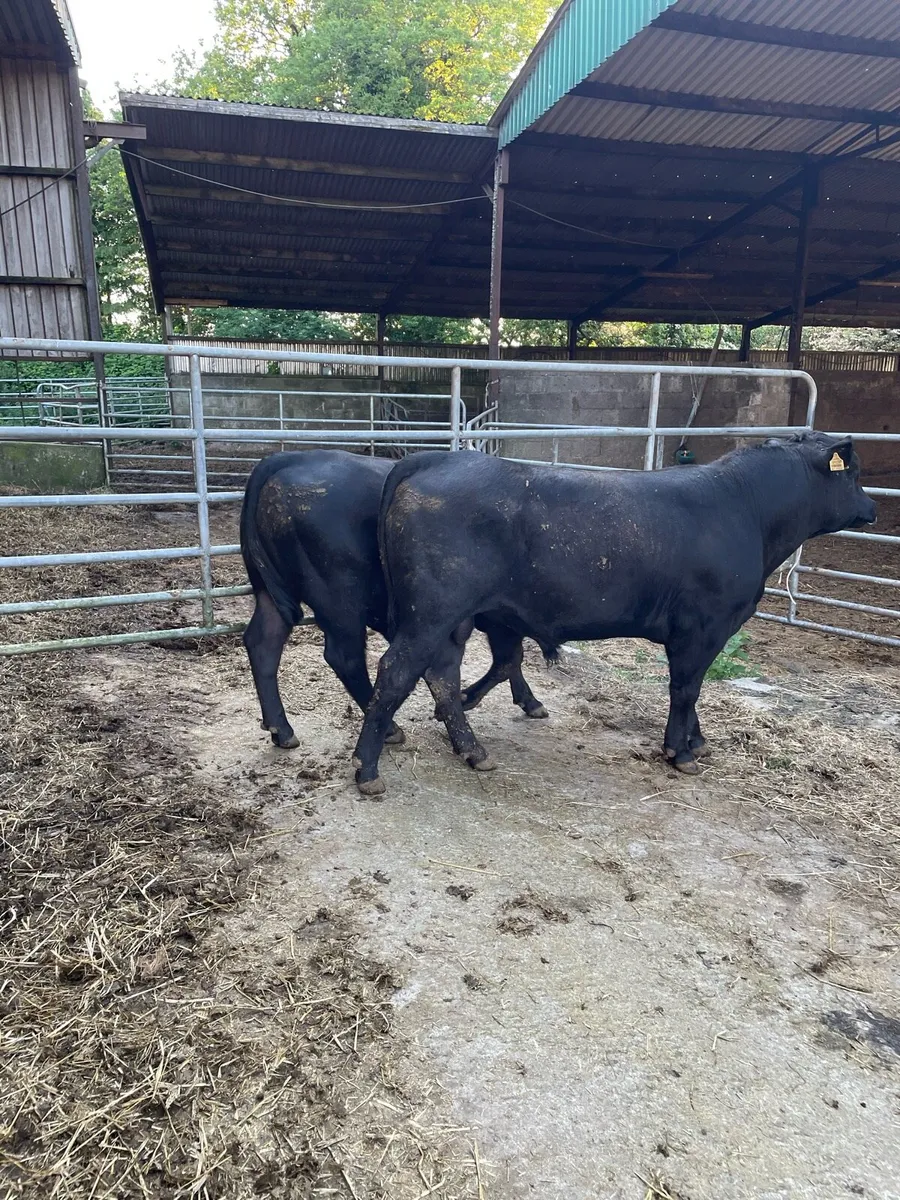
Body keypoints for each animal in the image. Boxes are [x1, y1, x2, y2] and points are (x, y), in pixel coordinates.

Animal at [239, 449, 547, 751]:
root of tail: (287, 458)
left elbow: (509, 658)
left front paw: (527, 700)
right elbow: (509, 658)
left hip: (268, 591)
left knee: (263, 642)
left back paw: (281, 730)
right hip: (340, 599)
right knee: (345, 656)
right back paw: (389, 729)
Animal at [352, 433, 876, 796]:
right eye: (852, 473)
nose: (872, 507)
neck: (745, 508)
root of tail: (437, 456)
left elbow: (692, 690)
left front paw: (696, 741)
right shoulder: (703, 626)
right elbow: (687, 688)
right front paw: (681, 751)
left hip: (453, 617)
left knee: (443, 673)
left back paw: (471, 748)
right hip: (431, 611)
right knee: (395, 671)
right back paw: (367, 767)